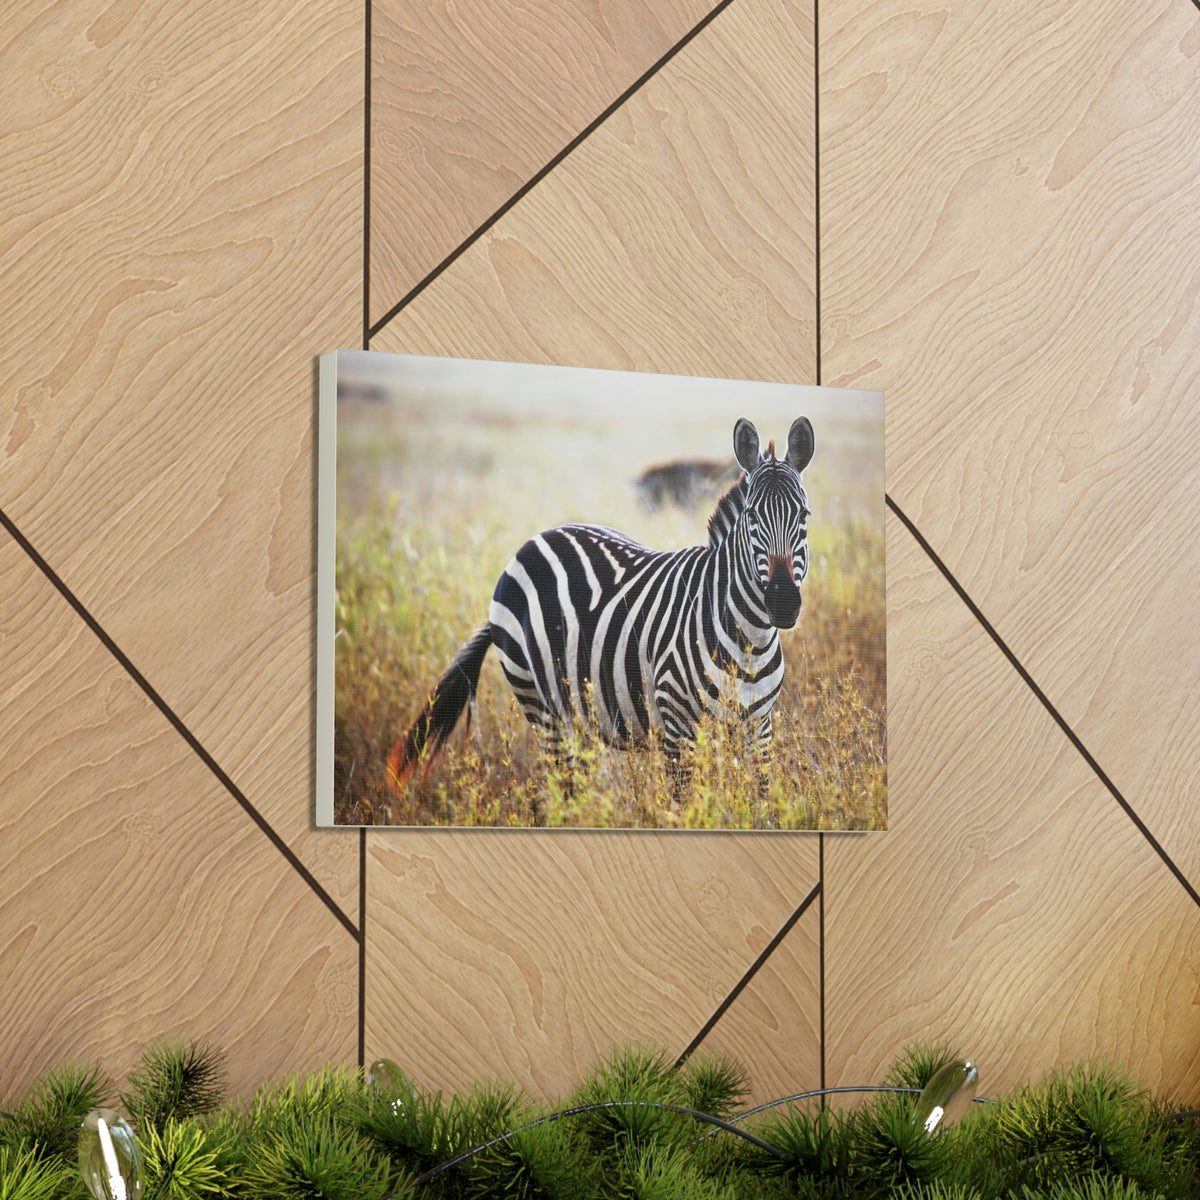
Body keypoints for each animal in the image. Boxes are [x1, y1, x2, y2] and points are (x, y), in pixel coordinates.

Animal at [386, 416, 814, 792]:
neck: (749, 639)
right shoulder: (678, 726)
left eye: (805, 515)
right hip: (543, 706)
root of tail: (536, 539)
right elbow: (686, 805)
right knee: (563, 791)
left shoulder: (759, 727)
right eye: (752, 516)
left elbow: (758, 800)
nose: (783, 602)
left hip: (583, 713)